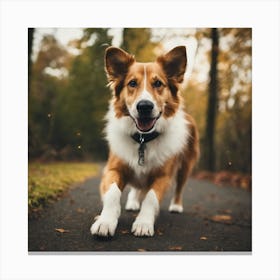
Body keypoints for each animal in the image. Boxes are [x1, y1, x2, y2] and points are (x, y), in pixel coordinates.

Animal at [89, 45, 199, 236]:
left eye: (158, 84)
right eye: (132, 83)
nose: (145, 106)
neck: (143, 140)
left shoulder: (163, 176)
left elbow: (150, 198)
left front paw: (143, 223)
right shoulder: (113, 168)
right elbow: (113, 193)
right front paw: (106, 221)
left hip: (185, 166)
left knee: (179, 187)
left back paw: (176, 206)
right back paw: (132, 202)